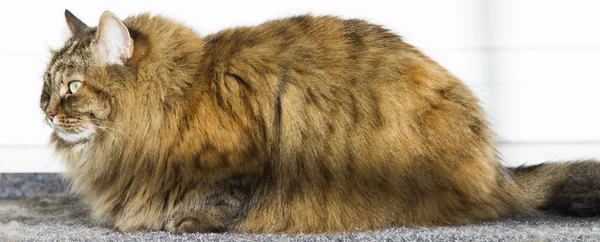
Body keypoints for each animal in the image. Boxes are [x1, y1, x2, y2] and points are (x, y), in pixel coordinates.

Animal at [39, 10, 600, 233]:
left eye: (73, 88)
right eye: (46, 85)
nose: (44, 110)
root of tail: (496, 169)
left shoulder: (247, 153)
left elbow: (222, 198)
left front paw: (189, 220)